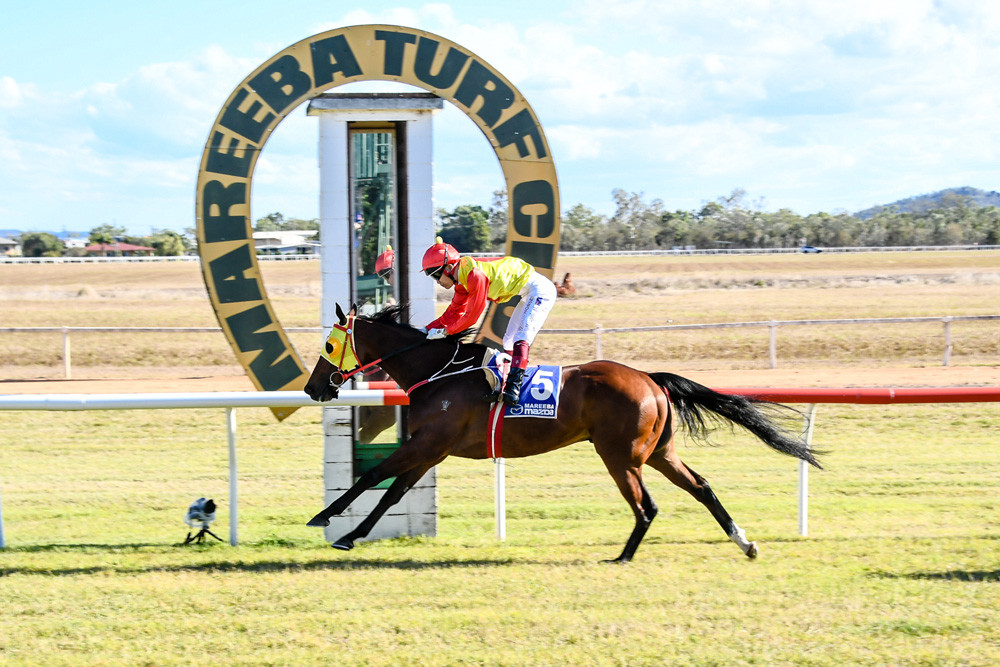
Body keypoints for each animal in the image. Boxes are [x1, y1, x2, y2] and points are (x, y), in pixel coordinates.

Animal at [306, 306, 820, 560]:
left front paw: (325, 517)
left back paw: (623, 557)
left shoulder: (429, 442)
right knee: (701, 486)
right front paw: (353, 535)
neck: (438, 372)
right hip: (658, 452)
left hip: (620, 455)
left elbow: (372, 477)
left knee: (647, 505)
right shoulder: (432, 449)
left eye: (329, 344)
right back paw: (744, 542)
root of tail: (649, 378)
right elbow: (392, 491)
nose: (313, 388)